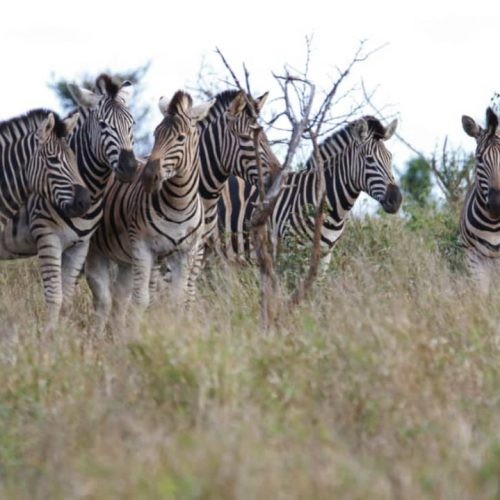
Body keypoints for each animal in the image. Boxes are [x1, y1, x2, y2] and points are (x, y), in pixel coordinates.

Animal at [0, 73, 137, 328]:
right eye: (103, 125)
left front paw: (63, 334)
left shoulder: (80, 245)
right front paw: (51, 336)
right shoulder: (47, 237)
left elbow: (67, 299)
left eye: (131, 124)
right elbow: (54, 297)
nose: (130, 167)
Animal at [85, 91, 210, 336]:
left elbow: (177, 301)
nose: (147, 177)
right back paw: (96, 337)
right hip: (96, 251)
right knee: (102, 298)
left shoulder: (186, 252)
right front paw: (135, 337)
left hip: (125, 256)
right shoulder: (143, 247)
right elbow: (141, 300)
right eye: (155, 134)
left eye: (181, 138)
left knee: (118, 298)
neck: (179, 203)